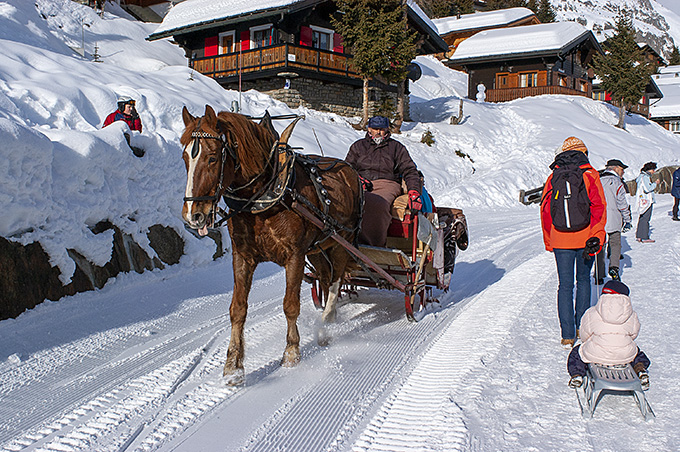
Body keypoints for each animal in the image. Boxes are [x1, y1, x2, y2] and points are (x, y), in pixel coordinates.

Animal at [181, 106, 362, 384]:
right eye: (184, 158)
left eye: (212, 158)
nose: (193, 215)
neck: (264, 196)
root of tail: (350, 170)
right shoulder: (242, 256)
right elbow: (237, 309)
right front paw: (233, 366)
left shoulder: (295, 255)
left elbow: (290, 305)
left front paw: (291, 353)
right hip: (318, 248)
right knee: (325, 275)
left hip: (341, 240)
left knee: (336, 280)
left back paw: (326, 326)